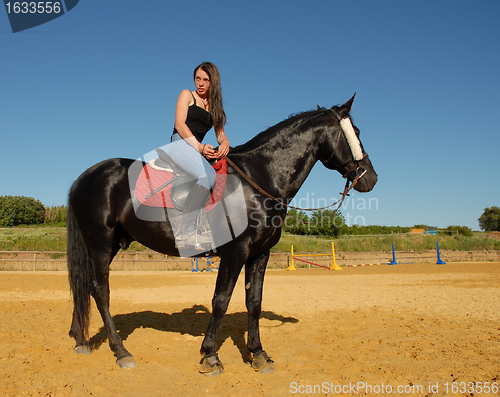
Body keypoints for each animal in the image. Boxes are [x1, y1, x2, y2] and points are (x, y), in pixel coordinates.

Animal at [67, 94, 378, 372]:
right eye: (356, 132)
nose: (371, 178)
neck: (259, 179)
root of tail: (85, 177)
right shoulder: (235, 252)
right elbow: (221, 301)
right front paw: (210, 356)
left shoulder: (259, 254)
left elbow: (254, 302)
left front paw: (258, 354)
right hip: (100, 243)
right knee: (100, 291)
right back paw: (121, 351)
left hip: (106, 246)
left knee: (85, 288)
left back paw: (81, 340)